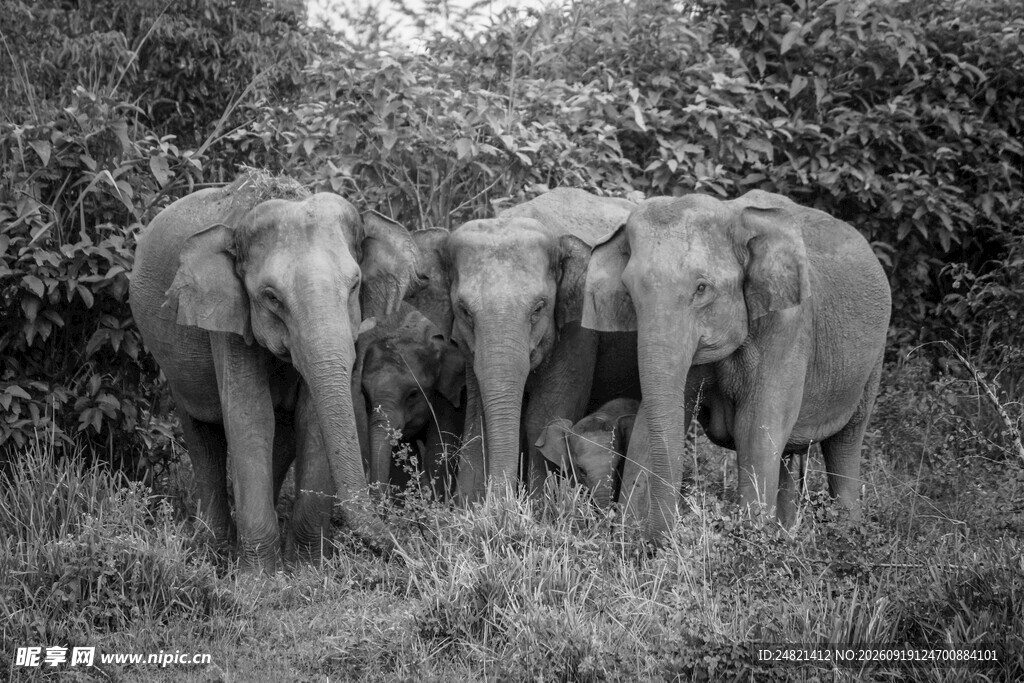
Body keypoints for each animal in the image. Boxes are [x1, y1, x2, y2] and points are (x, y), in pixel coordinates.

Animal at [129, 171, 420, 569]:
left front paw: (307, 568)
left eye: (355, 285)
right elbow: (250, 417)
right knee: (202, 434)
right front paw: (260, 576)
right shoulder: (227, 320)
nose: (402, 546)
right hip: (175, 366)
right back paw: (214, 551)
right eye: (271, 297)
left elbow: (309, 419)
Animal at [415, 187, 641, 504]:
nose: (501, 502)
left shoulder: (580, 328)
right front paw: (470, 506)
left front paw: (540, 508)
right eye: (464, 310)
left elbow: (544, 413)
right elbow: (477, 415)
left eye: (539, 308)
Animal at [582, 189, 891, 539]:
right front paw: (626, 538)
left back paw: (847, 533)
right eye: (629, 293)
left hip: (873, 361)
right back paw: (787, 536)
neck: (732, 213)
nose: (662, 537)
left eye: (702, 288)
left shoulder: (788, 325)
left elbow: (755, 428)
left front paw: (751, 539)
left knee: (845, 444)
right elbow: (651, 422)